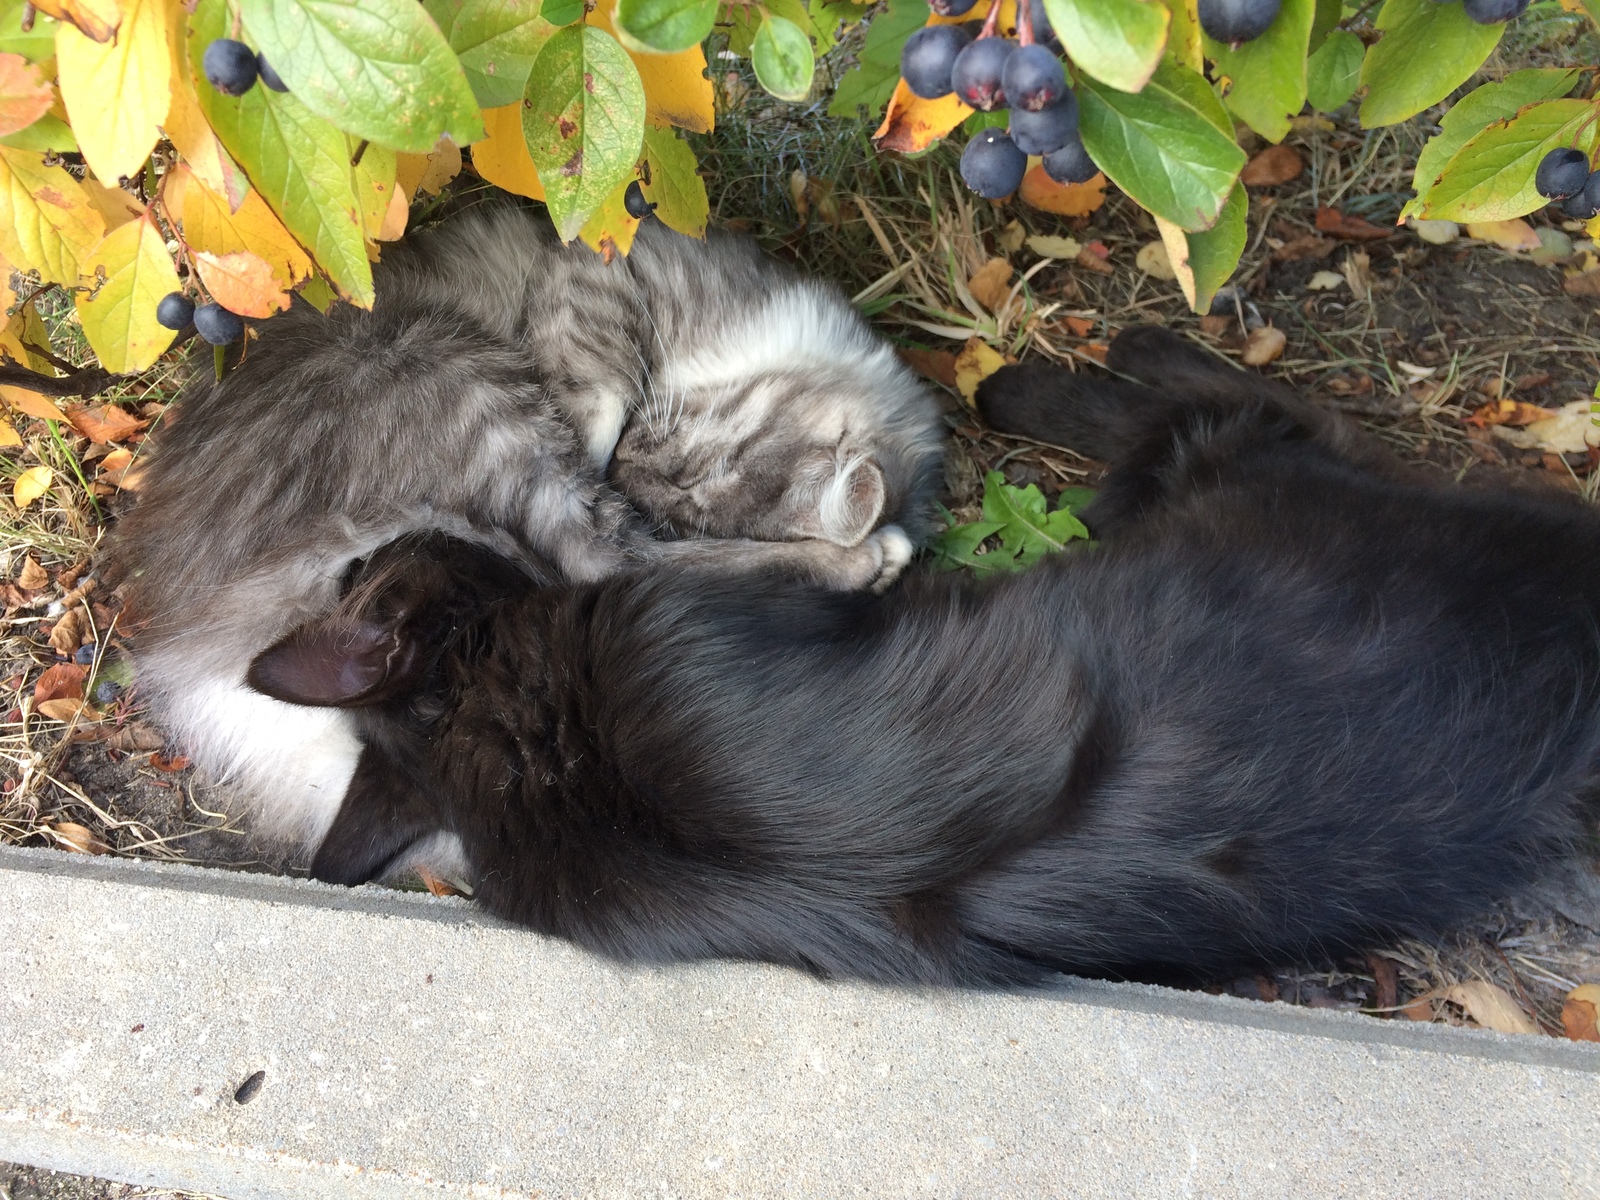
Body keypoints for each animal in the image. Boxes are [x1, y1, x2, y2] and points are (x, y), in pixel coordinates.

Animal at [106, 211, 940, 857]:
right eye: (672, 454)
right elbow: (600, 392)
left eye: (683, 490)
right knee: (605, 561)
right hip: (461, 379)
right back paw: (866, 560)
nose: (626, 474)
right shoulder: (592, 275)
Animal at [246, 326, 1600, 985]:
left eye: (377, 564)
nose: (384, 535)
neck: (525, 741)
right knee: (1254, 407)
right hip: (1259, 480)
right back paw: (1047, 378)